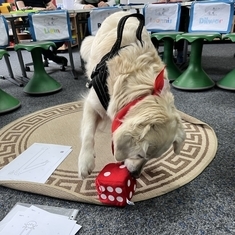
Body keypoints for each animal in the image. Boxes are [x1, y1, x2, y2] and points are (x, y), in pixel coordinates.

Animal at [78, 11, 185, 179]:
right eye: (140, 155)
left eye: (151, 158)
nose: (135, 175)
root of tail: (122, 11)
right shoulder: (92, 103)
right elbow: (88, 133)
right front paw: (85, 162)